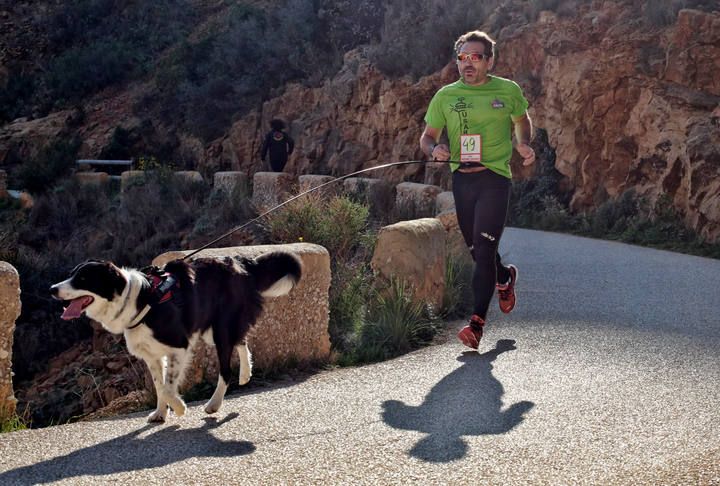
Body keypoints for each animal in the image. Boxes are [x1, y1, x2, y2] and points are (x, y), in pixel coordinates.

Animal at [48, 252, 300, 424]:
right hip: (213, 330)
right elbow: (160, 386)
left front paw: (179, 408)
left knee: (226, 370)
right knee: (241, 340)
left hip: (220, 329)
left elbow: (169, 388)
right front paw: (161, 413)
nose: (52, 289)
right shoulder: (151, 356)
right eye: (71, 275)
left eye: (82, 279)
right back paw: (246, 373)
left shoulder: (178, 347)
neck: (140, 300)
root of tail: (241, 263)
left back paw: (214, 404)